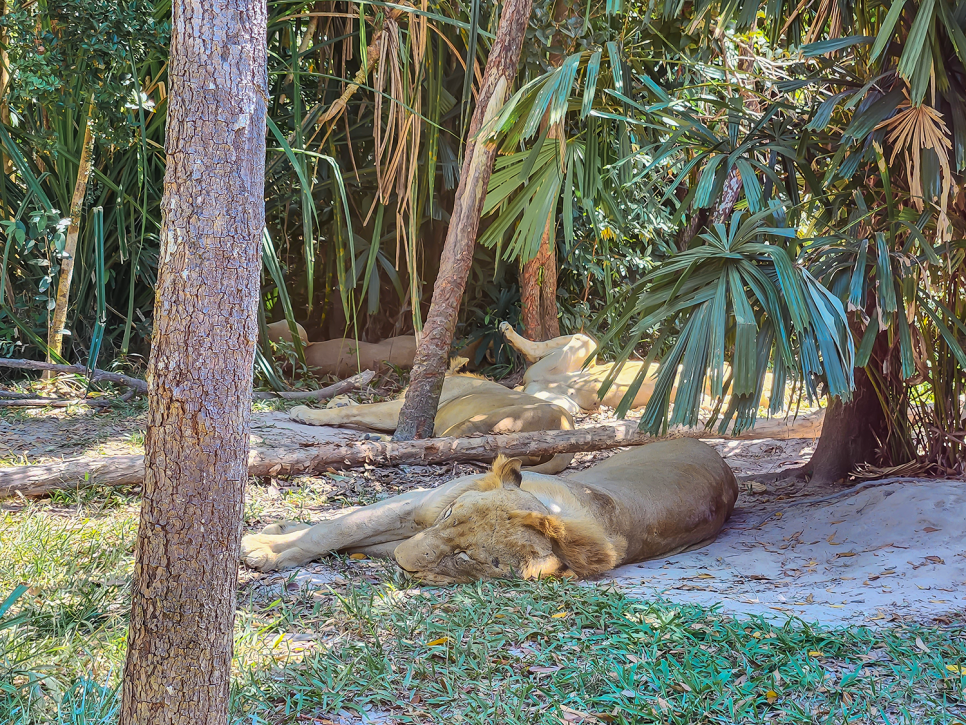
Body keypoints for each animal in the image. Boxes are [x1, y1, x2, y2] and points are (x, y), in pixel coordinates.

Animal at [242, 436, 740, 584]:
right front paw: (263, 548)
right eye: (449, 518)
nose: (403, 564)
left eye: (465, 558)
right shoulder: (418, 507)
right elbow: (335, 530)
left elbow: (351, 538)